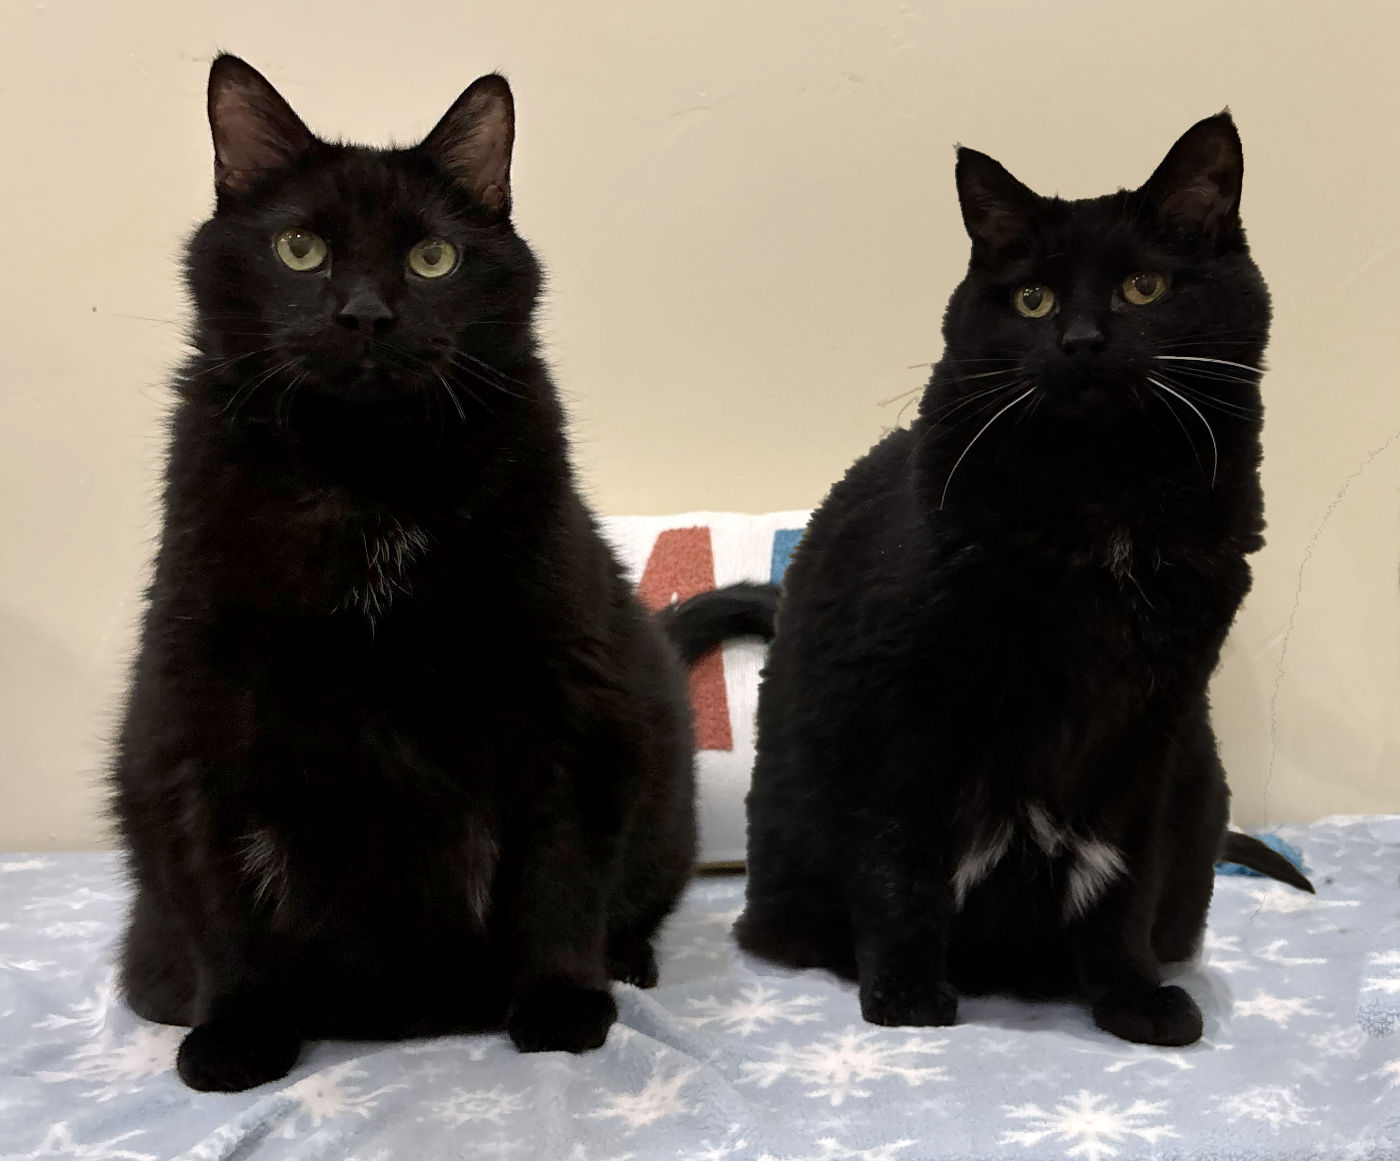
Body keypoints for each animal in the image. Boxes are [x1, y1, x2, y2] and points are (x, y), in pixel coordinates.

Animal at [111, 55, 756, 1093]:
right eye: (299, 248)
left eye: (433, 260)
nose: (365, 314)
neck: (370, 478)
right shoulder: (194, 706)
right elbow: (222, 885)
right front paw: (240, 1032)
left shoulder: (568, 697)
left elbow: (558, 868)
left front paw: (560, 1004)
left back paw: (624, 962)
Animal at [734, 112, 1276, 1047]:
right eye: (1033, 300)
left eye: (1142, 287)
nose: (1081, 341)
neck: (1102, 499)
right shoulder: (900, 700)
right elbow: (899, 858)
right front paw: (908, 994)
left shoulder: (1153, 721)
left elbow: (1122, 877)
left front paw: (1130, 997)